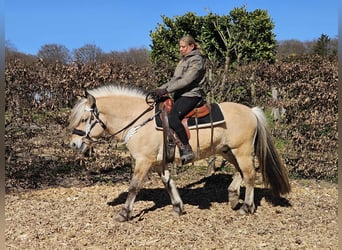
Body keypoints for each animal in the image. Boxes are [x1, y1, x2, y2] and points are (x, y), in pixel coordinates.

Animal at [68, 84, 290, 223]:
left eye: (84, 118)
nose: (74, 144)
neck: (138, 120)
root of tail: (250, 111)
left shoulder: (143, 161)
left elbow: (134, 186)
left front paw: (124, 213)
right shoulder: (158, 163)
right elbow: (168, 182)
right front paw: (177, 206)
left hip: (242, 151)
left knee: (250, 175)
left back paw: (246, 206)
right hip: (227, 151)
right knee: (241, 172)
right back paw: (234, 196)